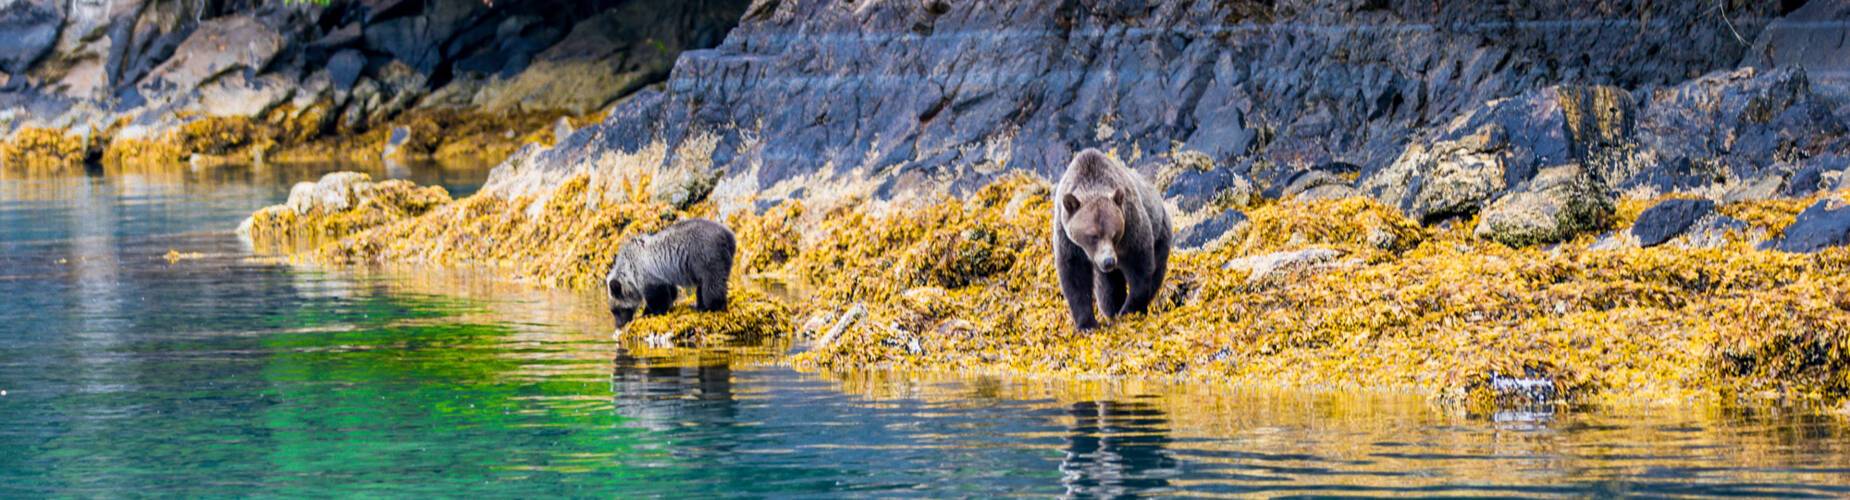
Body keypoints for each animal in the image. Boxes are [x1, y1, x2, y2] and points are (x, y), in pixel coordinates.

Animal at [605, 218, 737, 329]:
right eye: (613, 310)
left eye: (616, 310)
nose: (618, 325)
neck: (630, 273)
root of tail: (728, 234)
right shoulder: (662, 275)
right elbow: (670, 291)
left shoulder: (647, 274)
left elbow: (658, 297)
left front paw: (648, 313)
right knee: (703, 285)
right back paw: (700, 306)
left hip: (706, 256)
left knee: (712, 284)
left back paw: (713, 306)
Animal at [1053, 148, 1172, 330]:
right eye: (1093, 236)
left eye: (1114, 234)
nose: (1109, 261)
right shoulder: (1068, 240)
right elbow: (1074, 276)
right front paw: (1087, 324)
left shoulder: (1131, 226)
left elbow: (1140, 266)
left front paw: (1129, 310)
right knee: (1108, 288)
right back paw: (1112, 309)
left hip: (1160, 232)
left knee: (1156, 270)